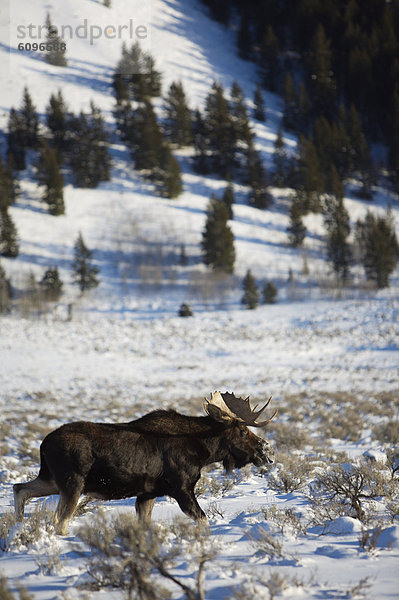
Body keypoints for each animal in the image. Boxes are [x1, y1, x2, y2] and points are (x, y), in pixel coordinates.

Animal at [11, 392, 276, 536]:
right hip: (72, 482)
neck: (204, 451)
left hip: (51, 479)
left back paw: (18, 526)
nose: (266, 451)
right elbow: (203, 520)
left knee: (19, 488)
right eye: (242, 430)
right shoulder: (181, 488)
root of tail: (43, 444)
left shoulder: (147, 494)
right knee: (59, 520)